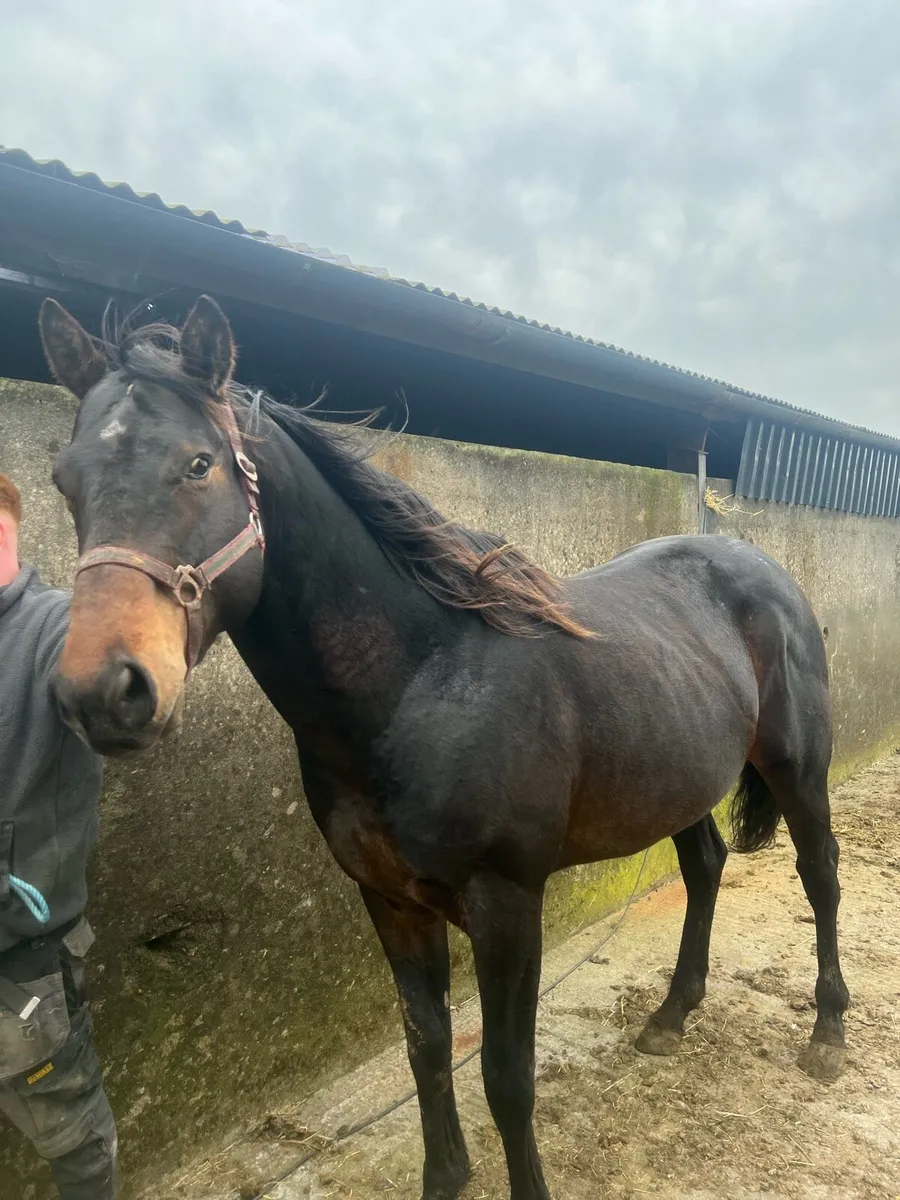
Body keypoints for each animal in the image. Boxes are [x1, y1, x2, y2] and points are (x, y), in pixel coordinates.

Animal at [37, 295, 849, 1200]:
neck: (422, 680)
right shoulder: (389, 900)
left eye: (198, 464)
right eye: (65, 479)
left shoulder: (508, 906)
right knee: (705, 866)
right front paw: (444, 1174)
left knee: (819, 872)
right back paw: (671, 1017)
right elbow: (425, 1046)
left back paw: (827, 1033)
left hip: (795, 766)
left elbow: (506, 1077)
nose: (103, 691)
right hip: (675, 778)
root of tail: (758, 563)